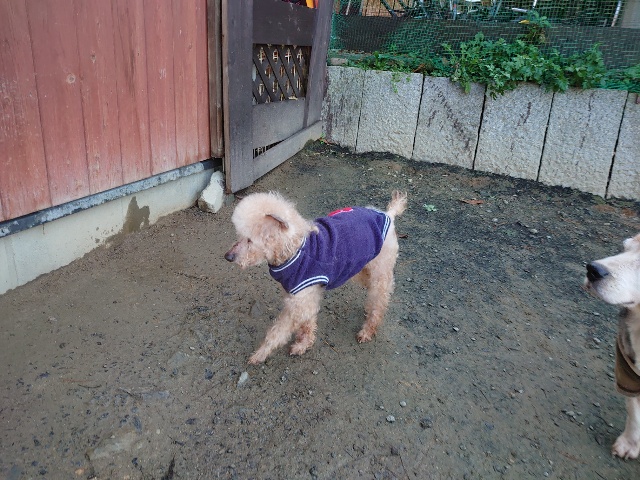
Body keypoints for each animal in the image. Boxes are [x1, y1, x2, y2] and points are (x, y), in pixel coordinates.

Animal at [225, 190, 407, 364]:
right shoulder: (303, 295)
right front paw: (304, 343)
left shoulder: (300, 299)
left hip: (380, 270)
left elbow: (278, 331)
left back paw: (368, 330)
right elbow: (307, 322)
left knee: (380, 299)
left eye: (250, 240)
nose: (228, 257)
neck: (292, 249)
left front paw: (260, 354)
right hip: (361, 268)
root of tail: (388, 215)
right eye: (239, 235)